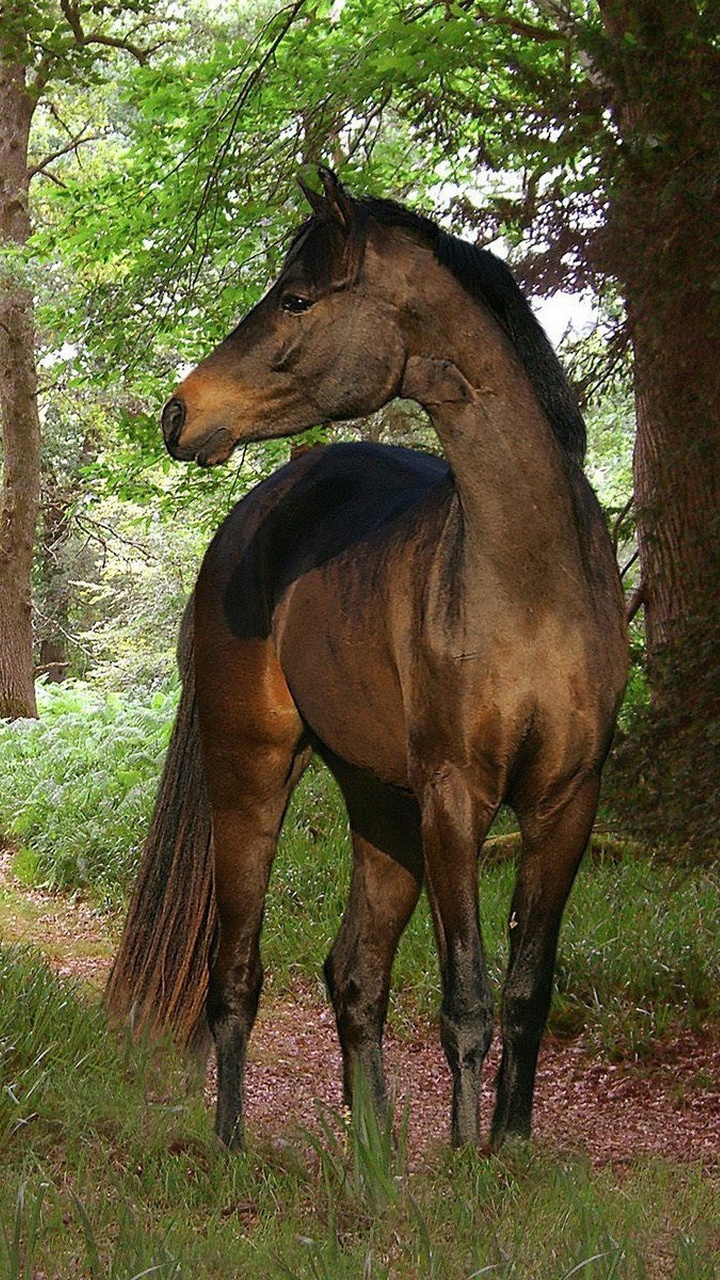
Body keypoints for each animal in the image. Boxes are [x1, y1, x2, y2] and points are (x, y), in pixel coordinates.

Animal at [160, 169, 628, 1150]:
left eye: (296, 299)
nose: (179, 413)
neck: (531, 579)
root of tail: (253, 518)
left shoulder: (567, 801)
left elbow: (526, 991)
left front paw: (509, 1146)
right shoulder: (457, 797)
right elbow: (468, 1000)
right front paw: (463, 1158)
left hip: (382, 804)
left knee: (353, 974)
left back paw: (375, 1153)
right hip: (252, 777)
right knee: (236, 975)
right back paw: (230, 1145)